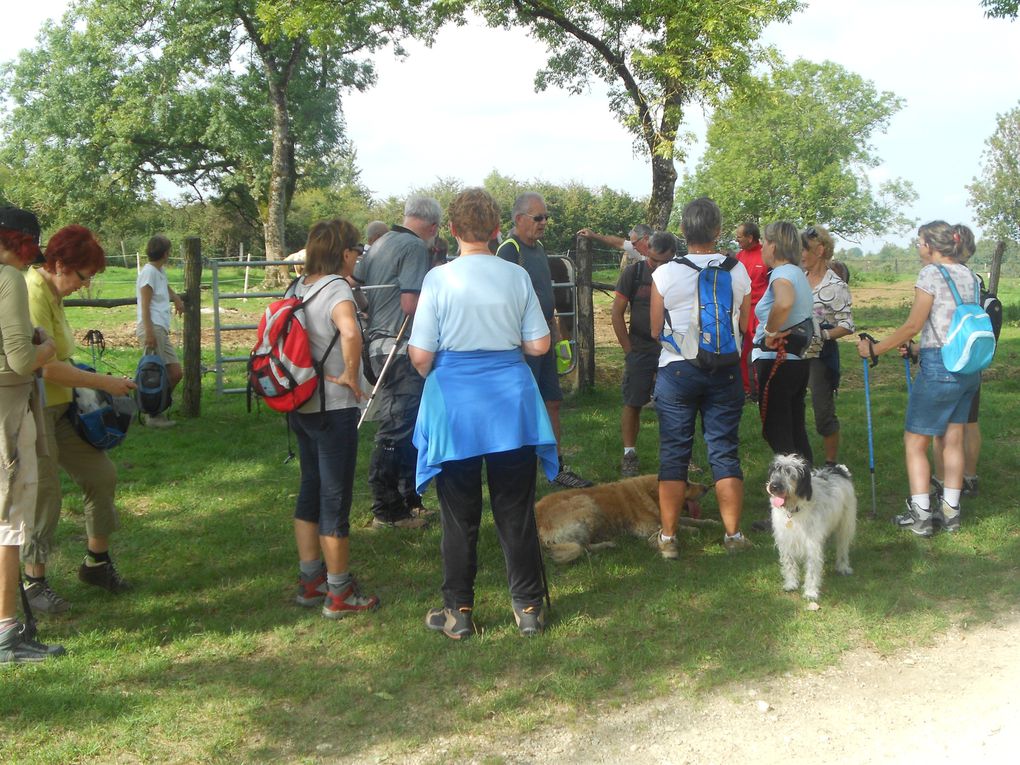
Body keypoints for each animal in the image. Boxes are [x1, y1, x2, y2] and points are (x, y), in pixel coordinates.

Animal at [534, 477, 718, 567]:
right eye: (685, 484)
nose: (707, 487)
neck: (650, 493)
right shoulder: (645, 526)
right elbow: (679, 525)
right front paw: (693, 530)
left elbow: (691, 519)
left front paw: (711, 522)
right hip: (588, 505)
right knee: (582, 547)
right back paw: (607, 545)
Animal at [767, 454, 856, 603]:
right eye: (775, 470)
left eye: (791, 473)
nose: (774, 486)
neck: (794, 510)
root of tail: (839, 470)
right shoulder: (786, 540)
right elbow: (789, 563)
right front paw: (791, 584)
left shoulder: (812, 544)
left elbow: (812, 570)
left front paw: (810, 592)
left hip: (845, 525)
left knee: (843, 548)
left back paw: (843, 567)